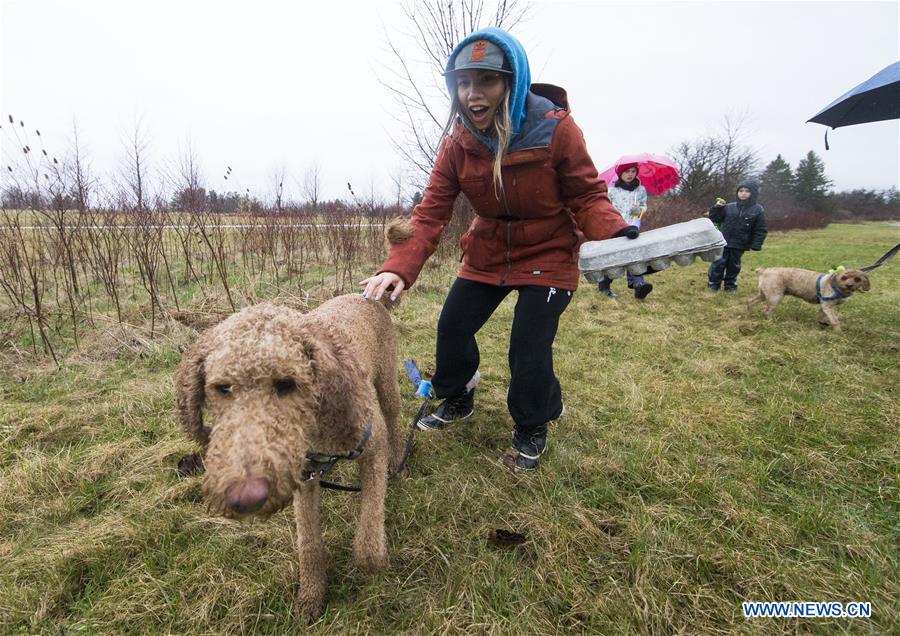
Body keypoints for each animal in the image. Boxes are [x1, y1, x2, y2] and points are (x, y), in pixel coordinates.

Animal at [173, 296, 404, 624]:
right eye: (223, 388)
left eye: (287, 383)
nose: (245, 496)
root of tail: (368, 296)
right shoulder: (304, 477)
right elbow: (308, 543)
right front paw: (311, 595)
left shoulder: (372, 448)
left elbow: (369, 532)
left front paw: (375, 562)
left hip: (387, 382)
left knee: (395, 417)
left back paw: (398, 461)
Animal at [744, 266, 872, 332]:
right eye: (844, 277)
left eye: (857, 279)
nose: (849, 285)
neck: (835, 285)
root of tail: (764, 271)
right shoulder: (828, 306)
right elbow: (835, 321)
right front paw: (838, 333)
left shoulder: (824, 307)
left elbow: (819, 317)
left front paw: (821, 324)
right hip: (775, 297)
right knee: (766, 311)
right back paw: (771, 322)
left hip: (764, 295)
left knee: (750, 302)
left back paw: (749, 315)